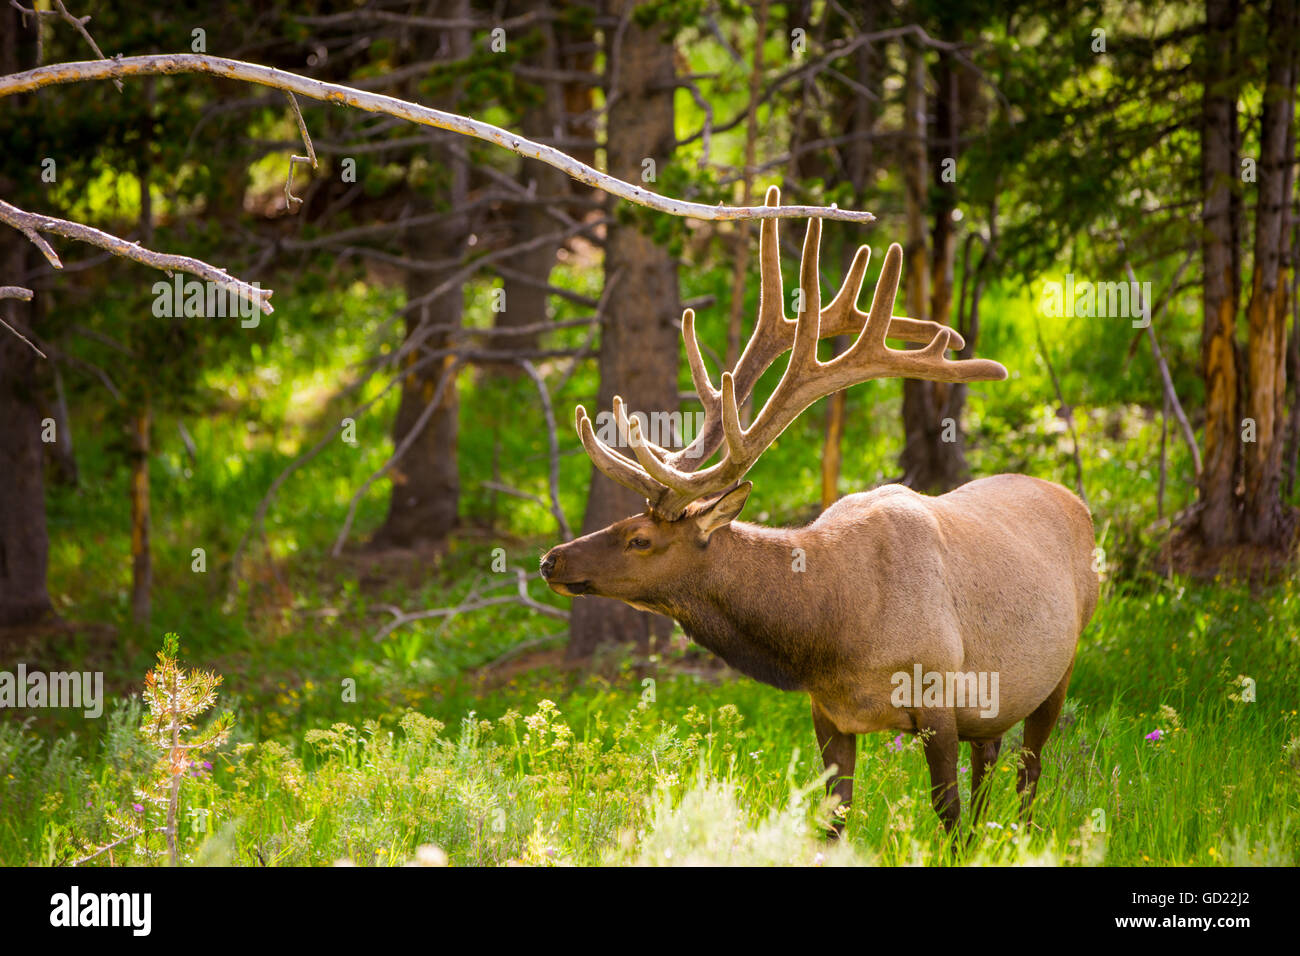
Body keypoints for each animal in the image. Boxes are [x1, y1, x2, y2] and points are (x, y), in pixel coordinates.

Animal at [538, 187, 1097, 837]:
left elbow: (948, 816)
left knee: (1030, 778)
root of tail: (1076, 502)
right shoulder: (828, 714)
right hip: (995, 705)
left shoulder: (938, 696)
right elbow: (834, 821)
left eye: (639, 540)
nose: (551, 560)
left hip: (1059, 668)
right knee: (993, 766)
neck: (831, 632)